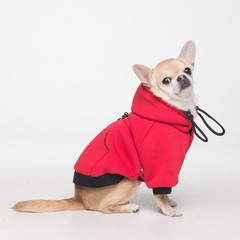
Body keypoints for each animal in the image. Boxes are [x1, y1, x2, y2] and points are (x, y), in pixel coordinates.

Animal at [12, 40, 197, 217]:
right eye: (166, 80)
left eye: (188, 70)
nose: (182, 77)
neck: (175, 107)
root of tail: (79, 199)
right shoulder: (159, 165)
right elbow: (160, 192)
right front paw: (167, 210)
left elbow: (164, 193)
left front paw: (169, 202)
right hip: (130, 181)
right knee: (105, 209)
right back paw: (129, 208)